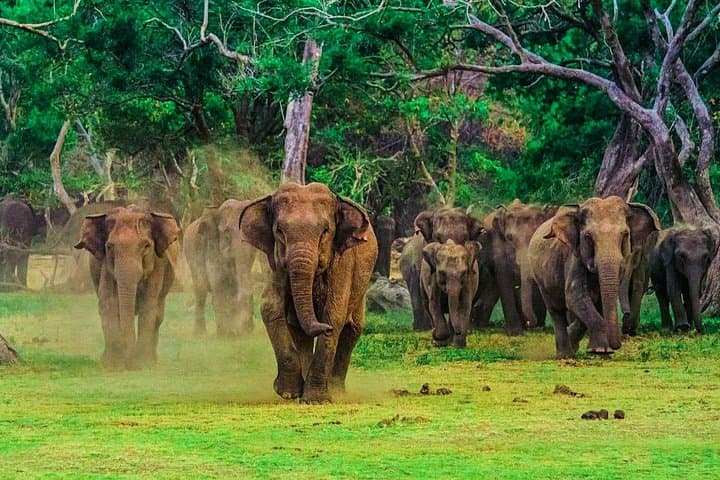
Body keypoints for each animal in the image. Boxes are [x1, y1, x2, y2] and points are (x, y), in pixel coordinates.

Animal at [74, 205, 180, 369]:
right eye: (109, 247)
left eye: (146, 246)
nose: (128, 360)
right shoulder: (106, 266)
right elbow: (108, 302)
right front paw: (113, 366)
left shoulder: (158, 264)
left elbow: (148, 304)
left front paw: (141, 365)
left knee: (158, 314)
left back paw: (152, 361)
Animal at [184, 199, 265, 337]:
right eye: (227, 233)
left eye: (252, 232)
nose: (247, 330)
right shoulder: (212, 246)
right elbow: (219, 283)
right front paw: (226, 336)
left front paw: (239, 333)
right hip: (191, 254)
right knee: (201, 290)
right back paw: (200, 334)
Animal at [239, 182, 378, 403]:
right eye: (279, 231)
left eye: (325, 231)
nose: (324, 329)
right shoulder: (276, 263)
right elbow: (270, 307)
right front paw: (288, 393)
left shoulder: (343, 262)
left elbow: (334, 314)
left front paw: (316, 400)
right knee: (299, 330)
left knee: (352, 329)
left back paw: (336, 391)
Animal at [473, 200, 557, 334]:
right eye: (509, 238)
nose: (529, 324)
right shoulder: (497, 244)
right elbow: (504, 278)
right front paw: (515, 332)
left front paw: (538, 328)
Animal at [528, 197, 659, 358]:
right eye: (587, 237)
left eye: (625, 235)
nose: (616, 345)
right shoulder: (574, 258)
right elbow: (575, 296)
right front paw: (600, 350)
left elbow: (597, 301)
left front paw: (599, 349)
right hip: (541, 278)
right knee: (556, 310)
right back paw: (565, 355)